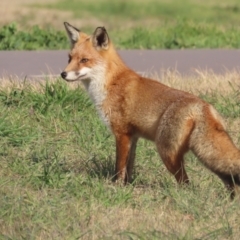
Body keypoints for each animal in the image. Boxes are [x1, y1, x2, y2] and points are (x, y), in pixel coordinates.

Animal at [61, 22, 240, 199]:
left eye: (84, 60)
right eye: (69, 58)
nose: (63, 74)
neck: (111, 83)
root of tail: (202, 107)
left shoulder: (121, 134)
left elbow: (119, 167)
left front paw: (116, 188)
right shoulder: (133, 137)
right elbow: (129, 168)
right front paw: (127, 187)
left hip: (167, 153)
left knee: (186, 183)